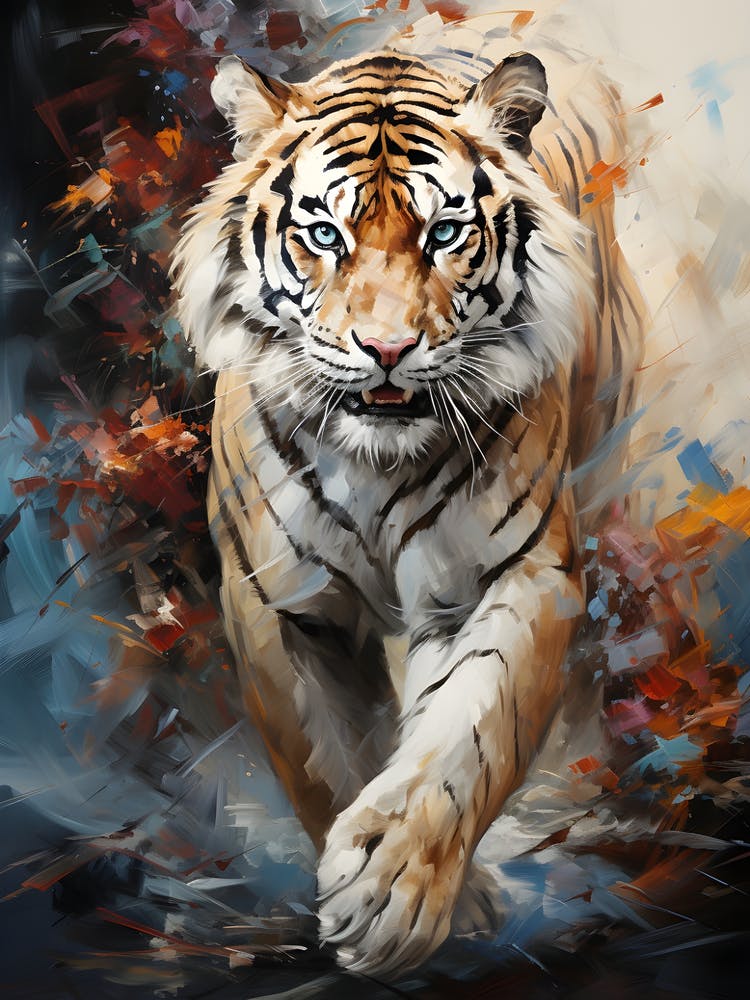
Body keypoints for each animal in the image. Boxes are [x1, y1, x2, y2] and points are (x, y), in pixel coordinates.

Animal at [171, 43, 644, 977]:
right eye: (325, 234)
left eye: (444, 234)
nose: (386, 349)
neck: (375, 461)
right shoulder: (280, 603)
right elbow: (327, 759)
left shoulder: (518, 575)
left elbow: (468, 736)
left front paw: (394, 890)